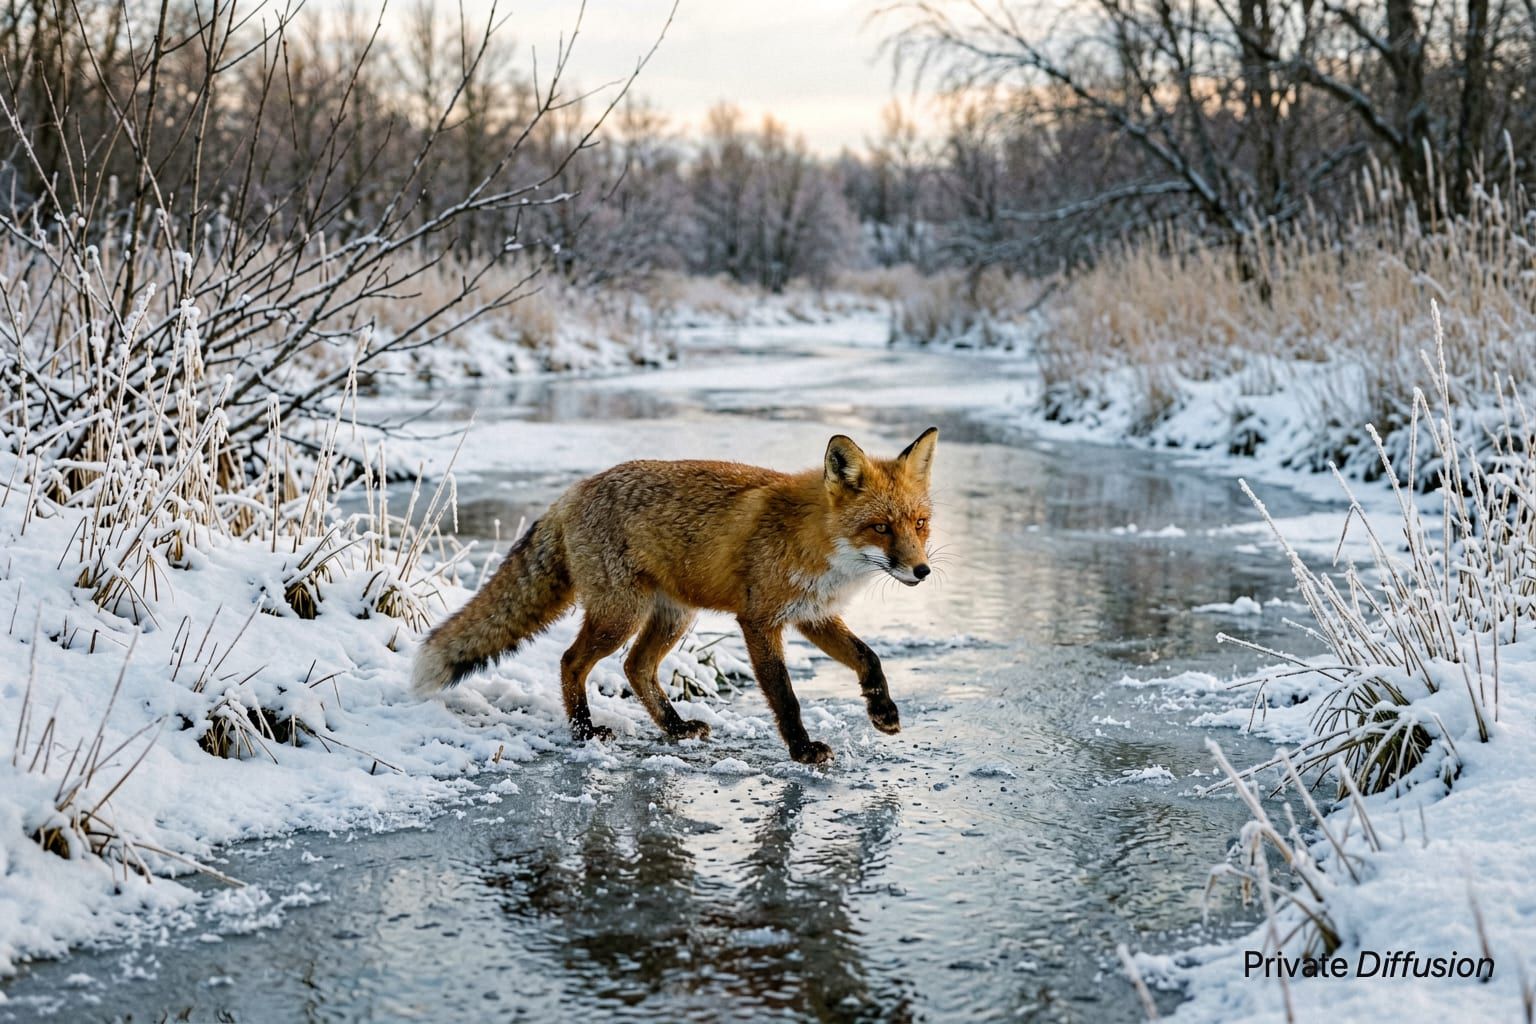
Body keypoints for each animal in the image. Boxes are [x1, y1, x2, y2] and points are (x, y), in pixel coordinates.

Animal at [412, 427, 939, 764]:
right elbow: (785, 694)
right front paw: (802, 750)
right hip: (621, 615)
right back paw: (584, 730)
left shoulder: (814, 615)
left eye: (919, 524)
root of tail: (571, 492)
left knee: (635, 667)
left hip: (672, 616)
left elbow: (868, 657)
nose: (922, 571)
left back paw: (675, 727)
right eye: (880, 527)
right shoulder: (760, 619)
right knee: (571, 661)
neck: (813, 539)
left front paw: (883, 711)